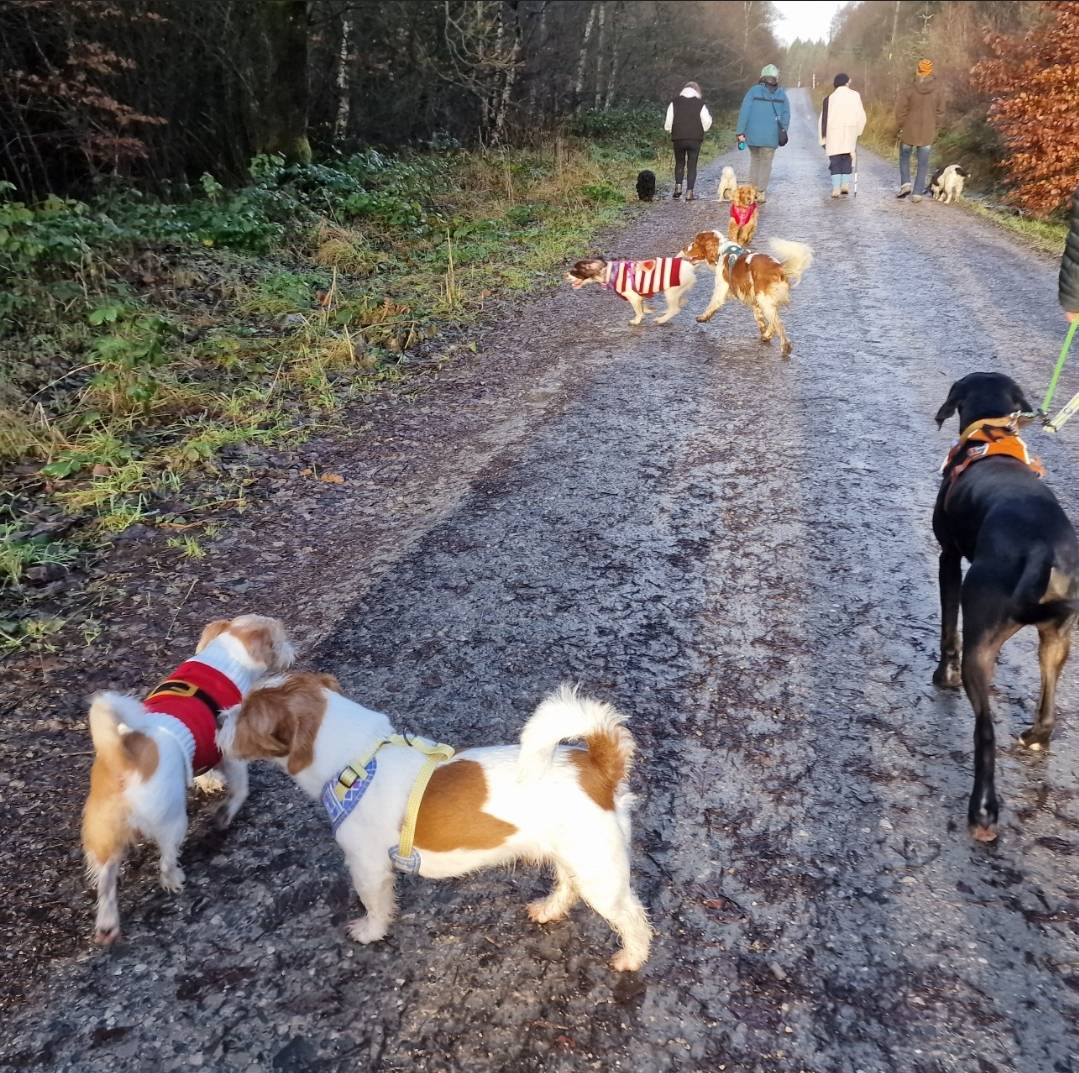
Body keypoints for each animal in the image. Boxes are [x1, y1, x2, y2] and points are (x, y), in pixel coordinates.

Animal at [82, 613, 295, 941]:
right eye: (281, 639)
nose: (292, 651)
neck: (225, 657)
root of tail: (123, 758)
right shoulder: (231, 755)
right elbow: (240, 790)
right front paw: (224, 814)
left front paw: (208, 783)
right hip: (172, 822)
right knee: (166, 861)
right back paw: (175, 878)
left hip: (104, 837)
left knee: (106, 884)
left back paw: (107, 924)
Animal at [221, 677, 647, 971]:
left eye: (244, 717)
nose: (220, 716)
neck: (356, 759)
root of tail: (597, 767)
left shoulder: (368, 867)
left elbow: (375, 905)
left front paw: (370, 931)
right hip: (570, 856)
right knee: (567, 885)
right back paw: (549, 908)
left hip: (599, 874)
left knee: (633, 917)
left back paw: (632, 957)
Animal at [936, 371, 1079, 841]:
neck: (991, 436)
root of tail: (1043, 551)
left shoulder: (948, 559)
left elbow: (948, 629)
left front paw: (942, 675)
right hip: (1057, 640)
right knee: (1049, 706)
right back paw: (1036, 735)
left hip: (982, 641)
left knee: (985, 731)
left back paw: (983, 812)